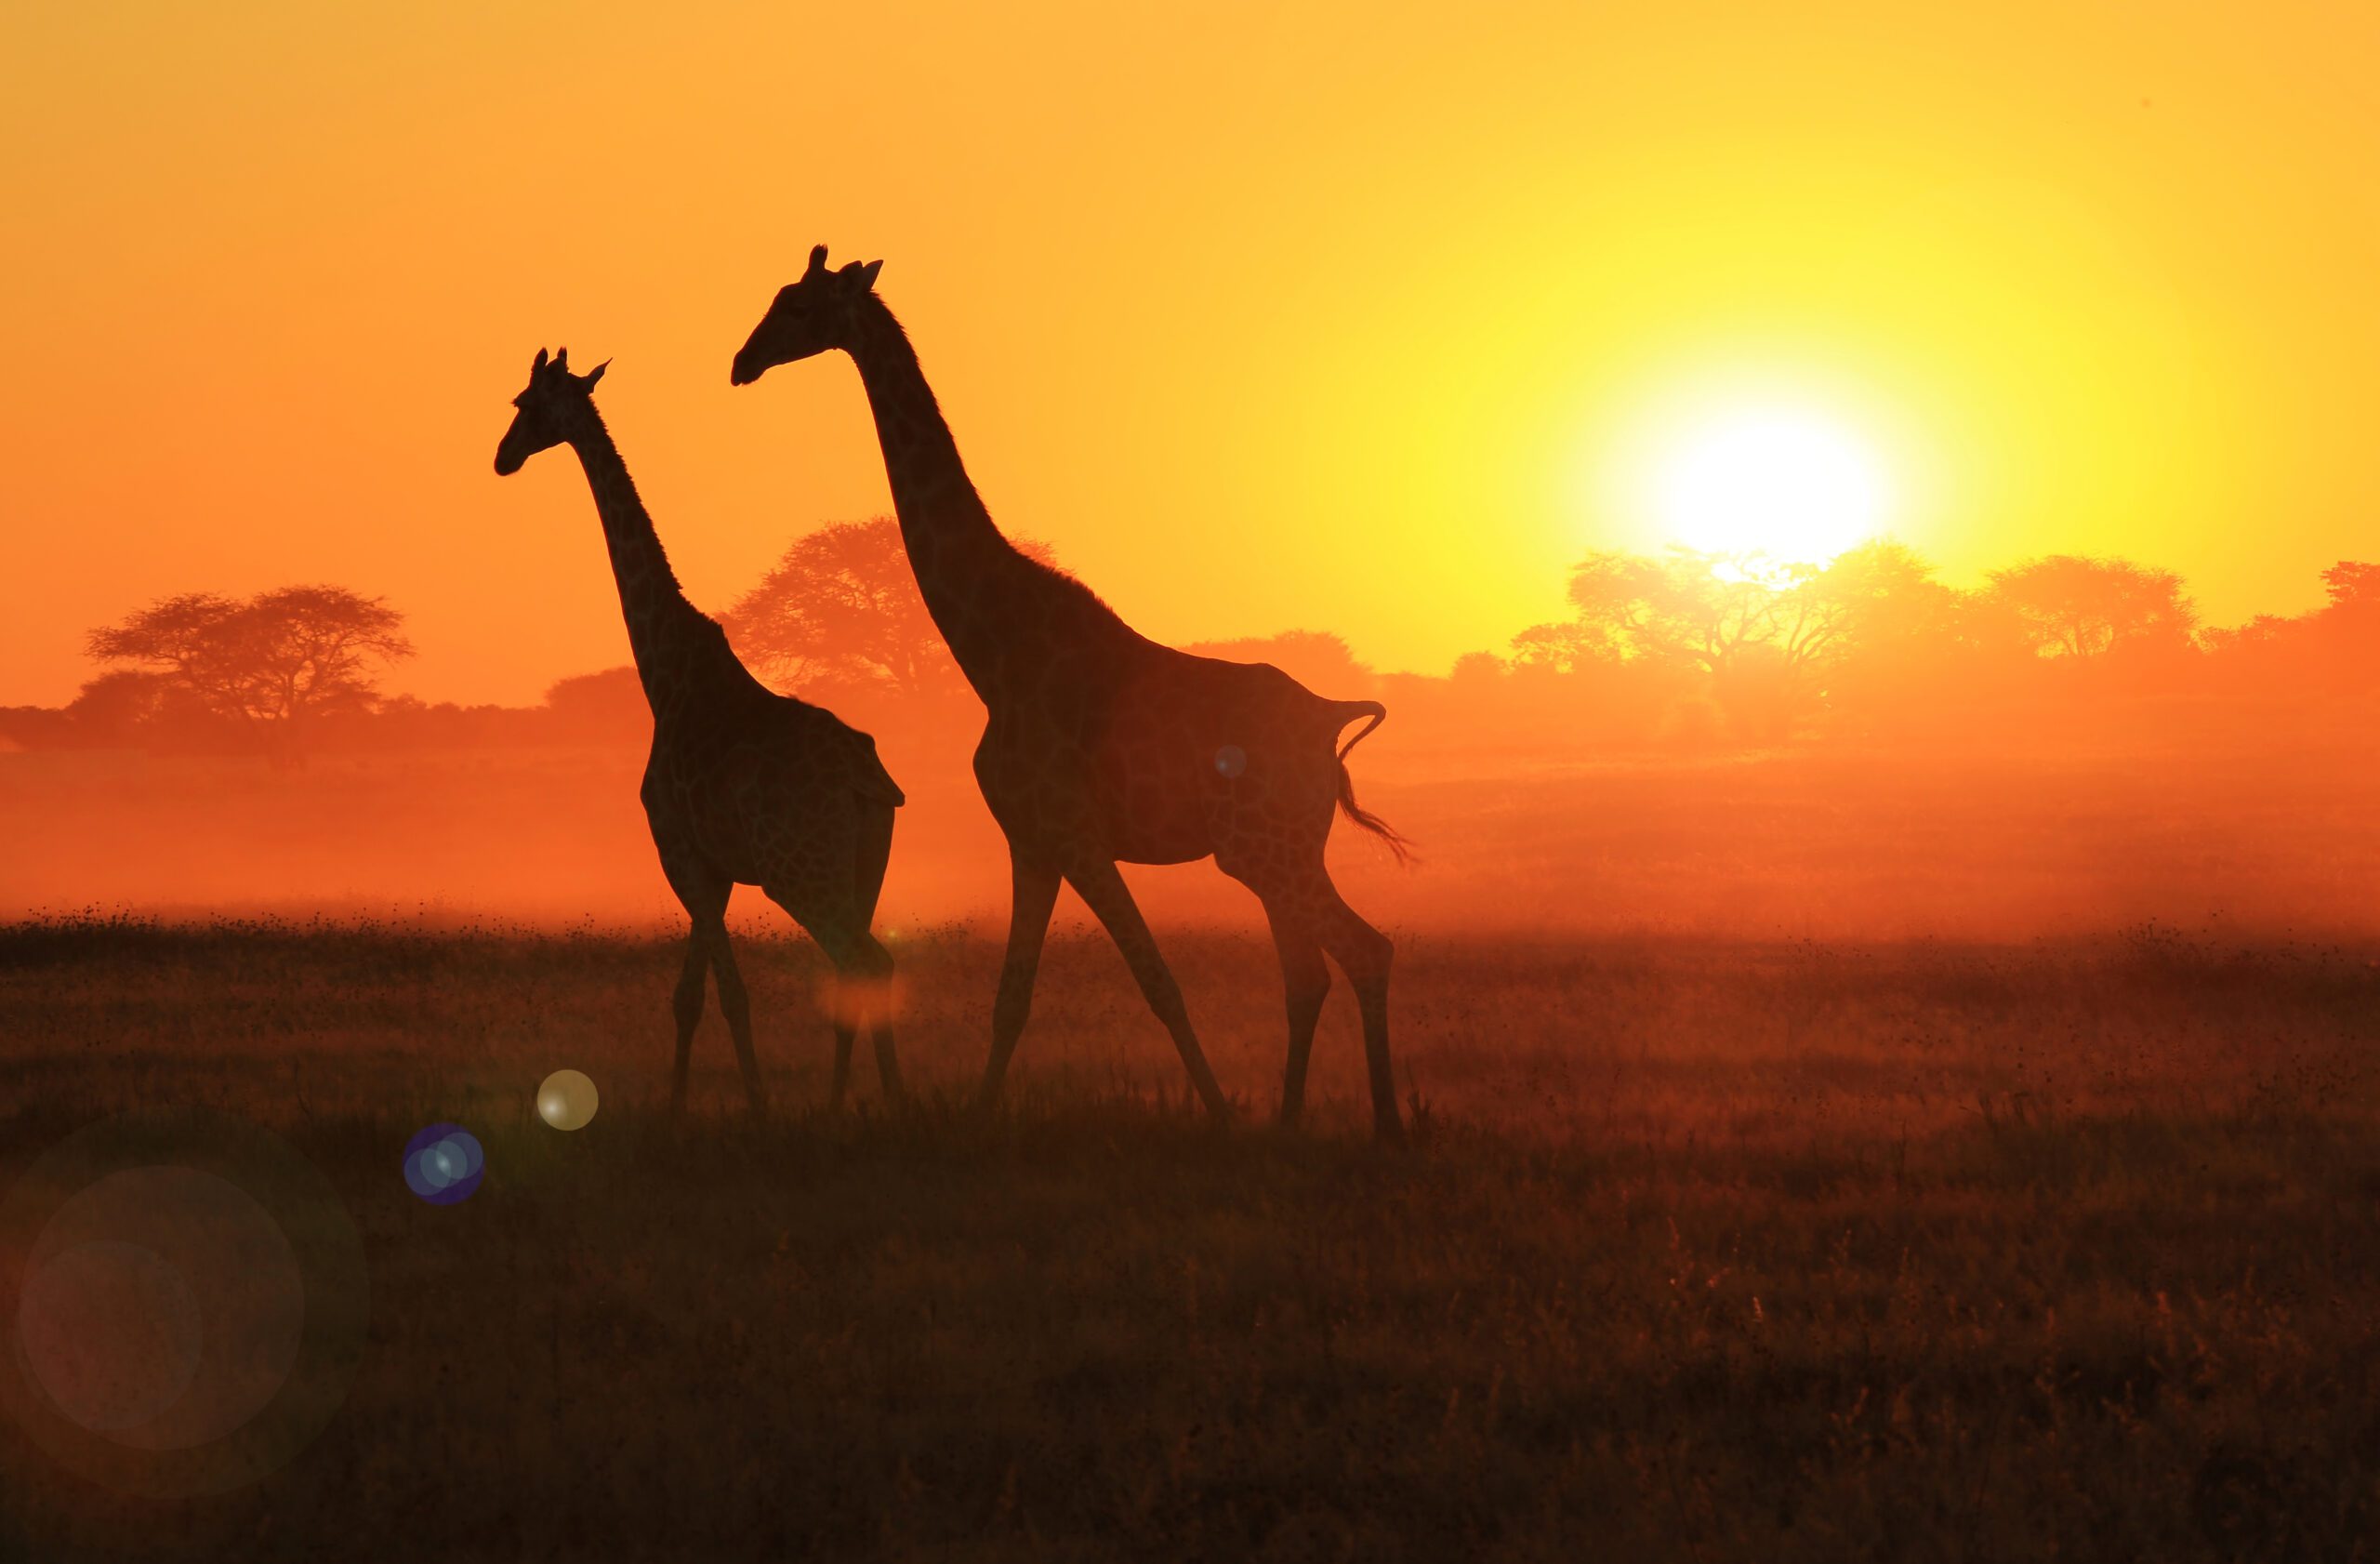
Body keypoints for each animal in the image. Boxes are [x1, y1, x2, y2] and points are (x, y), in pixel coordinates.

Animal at [494, 346, 906, 1118]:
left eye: (525, 405)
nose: (502, 457)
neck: (667, 674)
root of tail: (865, 780)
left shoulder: (678, 852)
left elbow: (730, 993)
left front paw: (758, 1108)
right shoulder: (707, 865)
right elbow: (687, 996)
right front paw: (678, 1106)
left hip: (798, 870)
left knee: (865, 959)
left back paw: (894, 1108)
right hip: (867, 862)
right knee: (862, 971)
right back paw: (847, 1106)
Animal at [731, 250, 1410, 1141]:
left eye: (800, 307)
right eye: (778, 297)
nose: (742, 362)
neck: (995, 651)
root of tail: (1330, 721)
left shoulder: (1077, 837)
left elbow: (1157, 980)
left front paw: (1219, 1115)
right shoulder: (1031, 840)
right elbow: (1012, 996)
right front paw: (979, 1116)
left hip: (1267, 850)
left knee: (1359, 952)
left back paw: (1383, 1126)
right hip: (1277, 853)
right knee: (1316, 969)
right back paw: (1297, 1122)